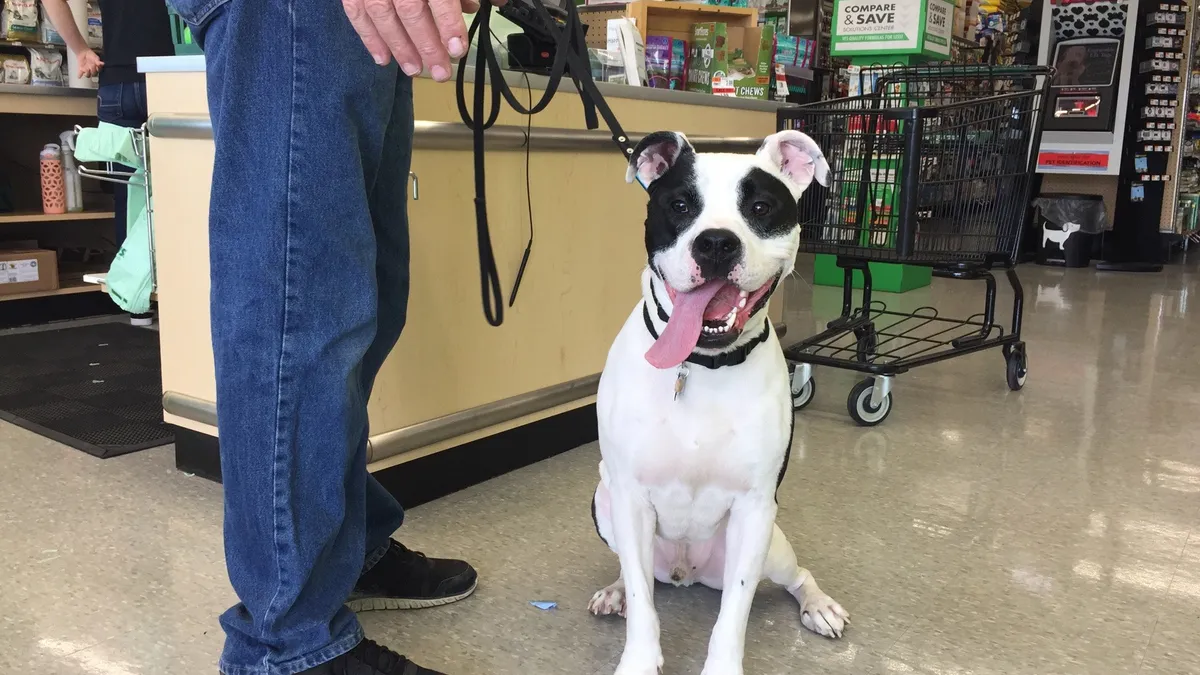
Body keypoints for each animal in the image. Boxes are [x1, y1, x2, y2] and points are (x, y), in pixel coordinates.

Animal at [585, 131, 849, 672]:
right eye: (681, 205)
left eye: (761, 207)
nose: (715, 243)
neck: (699, 366)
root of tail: (687, 572)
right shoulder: (629, 496)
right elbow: (643, 600)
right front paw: (638, 656)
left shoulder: (753, 509)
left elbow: (735, 611)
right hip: (605, 501)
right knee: (633, 572)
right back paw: (616, 590)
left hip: (773, 544)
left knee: (797, 576)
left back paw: (817, 606)